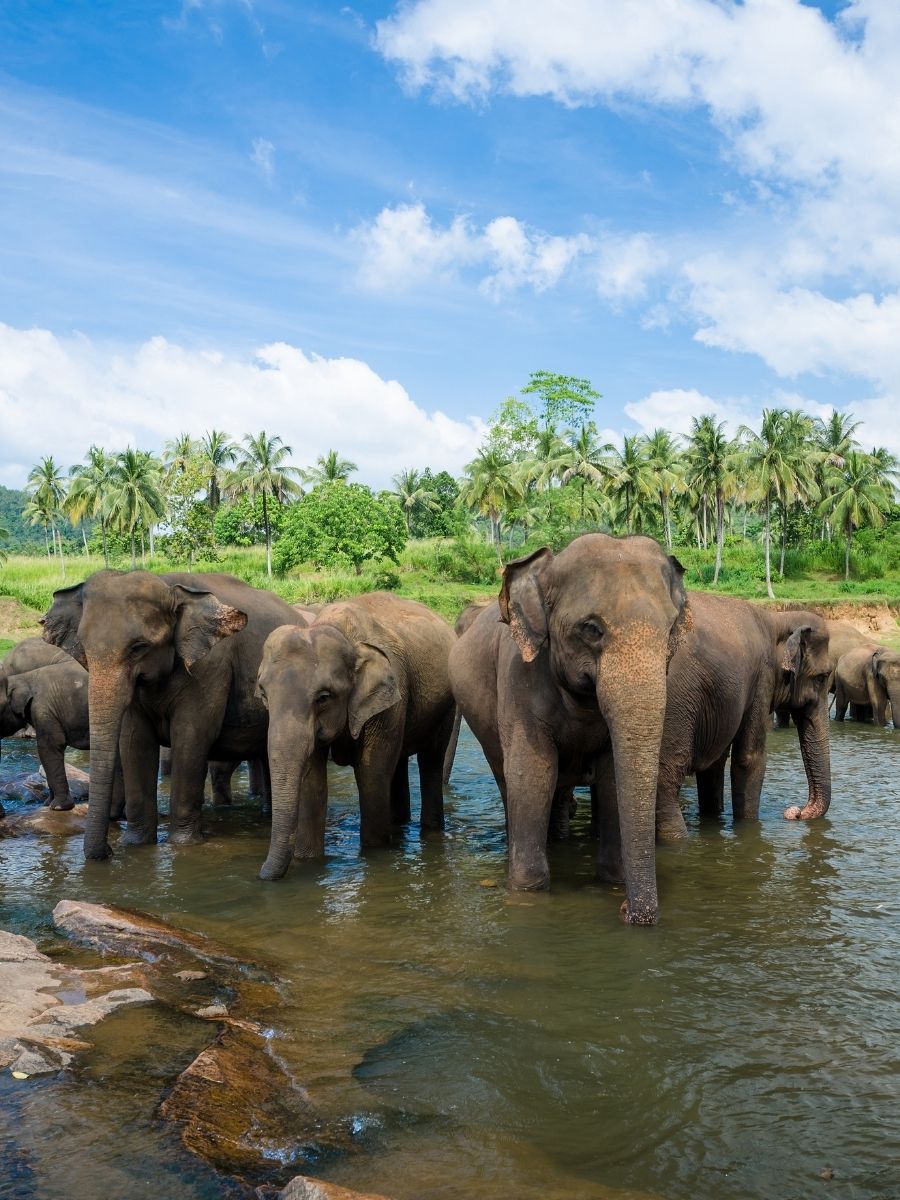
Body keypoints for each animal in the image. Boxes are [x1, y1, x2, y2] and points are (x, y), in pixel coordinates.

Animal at [41, 570, 308, 859]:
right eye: (84, 647)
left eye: (138, 647)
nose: (108, 851)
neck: (169, 586)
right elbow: (134, 741)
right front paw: (135, 844)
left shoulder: (210, 667)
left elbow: (191, 737)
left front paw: (182, 845)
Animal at [256, 591, 456, 880]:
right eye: (263, 694)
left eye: (324, 697)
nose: (261, 873)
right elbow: (313, 783)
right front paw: (308, 863)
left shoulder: (387, 699)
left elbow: (370, 775)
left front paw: (374, 857)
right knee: (398, 764)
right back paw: (400, 823)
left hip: (445, 707)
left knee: (430, 761)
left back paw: (429, 831)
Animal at [449, 533, 688, 927]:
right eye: (591, 629)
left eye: (671, 629)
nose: (629, 912)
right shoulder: (518, 677)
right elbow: (534, 773)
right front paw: (527, 892)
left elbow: (610, 777)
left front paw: (612, 881)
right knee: (509, 781)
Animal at [594, 596, 832, 879]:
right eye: (822, 678)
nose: (795, 813)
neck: (778, 619)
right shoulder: (762, 678)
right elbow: (749, 758)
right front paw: (748, 829)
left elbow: (715, 764)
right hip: (672, 705)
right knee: (665, 780)